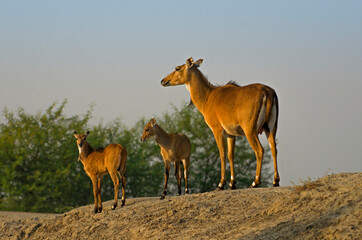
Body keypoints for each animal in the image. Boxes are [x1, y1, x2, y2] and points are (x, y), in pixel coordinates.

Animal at [161, 57, 280, 190]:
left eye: (177, 68)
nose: (163, 81)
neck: (207, 97)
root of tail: (268, 92)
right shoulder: (231, 134)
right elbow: (230, 155)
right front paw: (232, 183)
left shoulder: (217, 130)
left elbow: (222, 154)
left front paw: (221, 183)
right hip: (271, 128)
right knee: (273, 148)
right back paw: (275, 181)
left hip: (250, 130)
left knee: (260, 150)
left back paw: (255, 182)